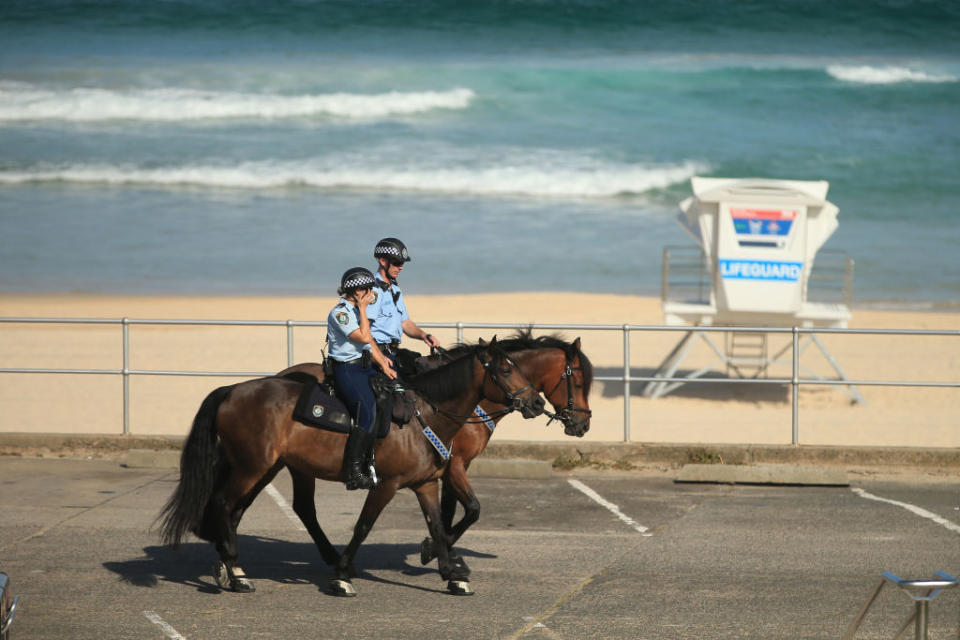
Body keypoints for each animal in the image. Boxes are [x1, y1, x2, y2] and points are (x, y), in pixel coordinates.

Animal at [160, 338, 544, 596]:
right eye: (506, 369)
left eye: (519, 367)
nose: (536, 402)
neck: (423, 415)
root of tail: (232, 389)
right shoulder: (387, 484)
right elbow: (363, 526)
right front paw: (343, 576)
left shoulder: (426, 484)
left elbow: (438, 526)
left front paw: (451, 574)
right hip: (252, 467)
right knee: (224, 503)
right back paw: (239, 573)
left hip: (264, 467)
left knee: (240, 509)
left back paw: (230, 566)